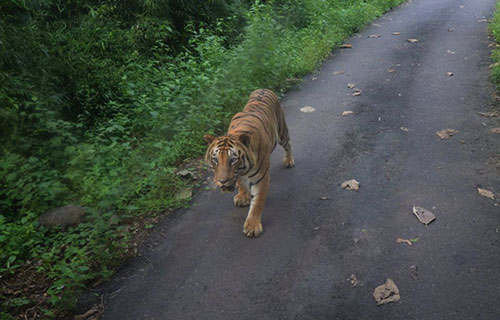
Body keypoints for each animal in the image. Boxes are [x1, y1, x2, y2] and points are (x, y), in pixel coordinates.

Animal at [205, 89, 294, 236]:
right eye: (215, 159)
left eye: (233, 160)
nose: (222, 181)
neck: (244, 169)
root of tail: (263, 89)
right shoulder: (240, 175)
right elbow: (242, 183)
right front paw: (243, 196)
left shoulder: (261, 179)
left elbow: (257, 202)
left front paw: (252, 226)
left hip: (281, 132)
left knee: (288, 144)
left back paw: (289, 161)